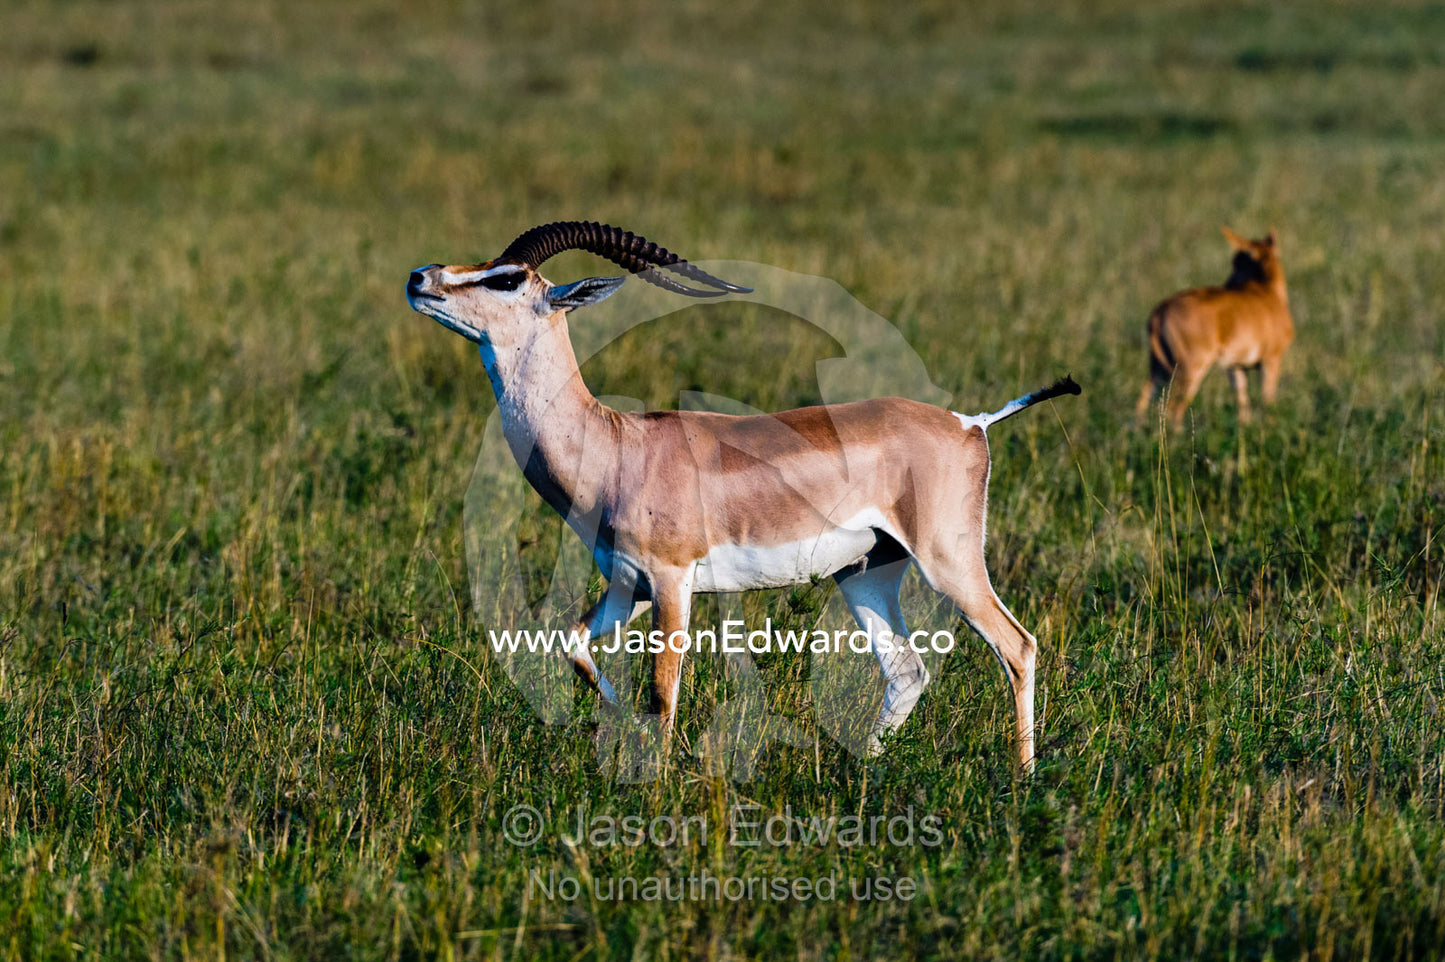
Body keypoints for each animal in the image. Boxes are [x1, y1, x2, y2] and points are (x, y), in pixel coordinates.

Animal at [406, 221, 1080, 770]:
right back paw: (865, 767)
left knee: (1018, 646)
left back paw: (1022, 779)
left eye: (507, 278)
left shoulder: (672, 581)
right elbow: (573, 646)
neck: (616, 446)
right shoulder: (627, 585)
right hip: (866, 573)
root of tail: (970, 423)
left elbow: (664, 690)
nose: (420, 276)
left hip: (949, 562)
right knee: (908, 670)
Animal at [1135, 227, 1294, 428]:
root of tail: (1160, 311)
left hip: (1158, 367)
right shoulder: (1271, 360)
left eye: (1237, 262)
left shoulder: (1236, 367)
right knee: (1173, 409)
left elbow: (1242, 402)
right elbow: (1268, 400)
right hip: (1190, 369)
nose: (1229, 284)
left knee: (1143, 398)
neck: (1268, 291)